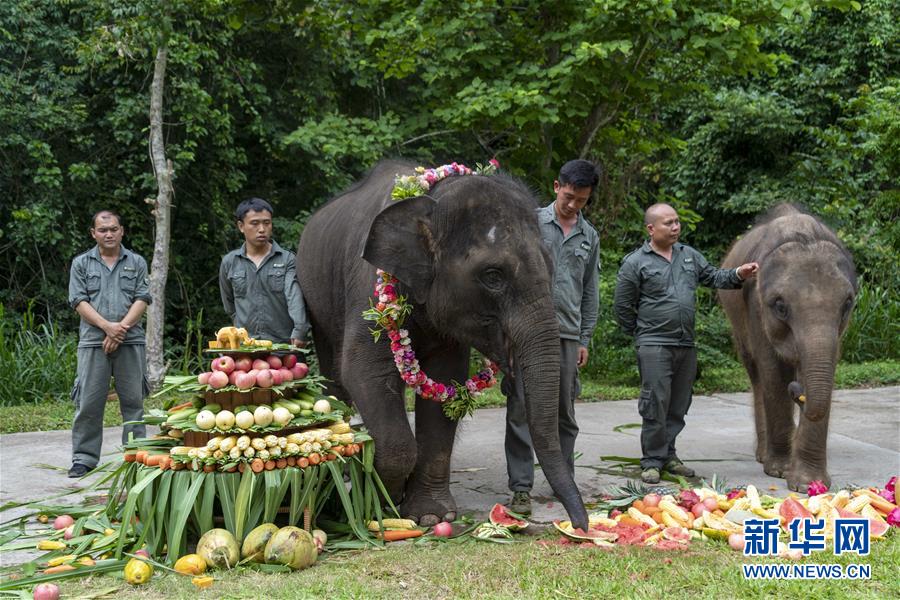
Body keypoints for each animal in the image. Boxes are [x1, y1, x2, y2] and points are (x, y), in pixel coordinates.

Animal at [296, 160, 589, 529]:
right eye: (493, 276)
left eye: (552, 270)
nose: (580, 526)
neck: (433, 198)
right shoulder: (366, 289)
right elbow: (365, 372)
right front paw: (379, 498)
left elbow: (446, 383)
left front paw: (429, 514)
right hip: (314, 300)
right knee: (335, 374)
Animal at [719, 204, 857, 491]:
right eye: (780, 306)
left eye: (847, 304)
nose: (798, 392)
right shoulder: (756, 307)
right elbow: (773, 372)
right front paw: (780, 472)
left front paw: (808, 484)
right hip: (736, 323)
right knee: (757, 375)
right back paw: (763, 456)